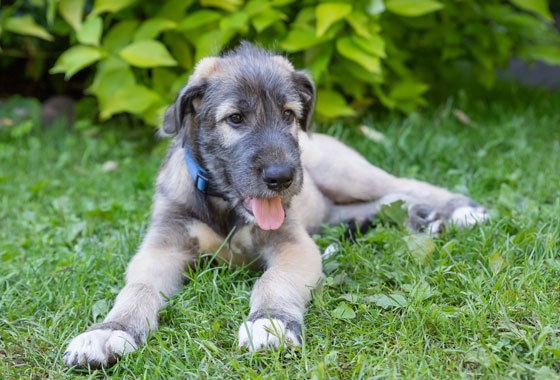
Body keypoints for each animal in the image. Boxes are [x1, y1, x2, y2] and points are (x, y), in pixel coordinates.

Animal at [63, 41, 488, 368]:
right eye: (235, 118)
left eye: (289, 114)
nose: (281, 177)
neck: (225, 205)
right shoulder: (162, 247)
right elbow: (138, 289)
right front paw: (108, 331)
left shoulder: (292, 242)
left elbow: (274, 280)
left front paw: (270, 322)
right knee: (372, 207)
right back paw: (422, 220)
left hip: (344, 171)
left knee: (402, 186)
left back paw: (456, 210)